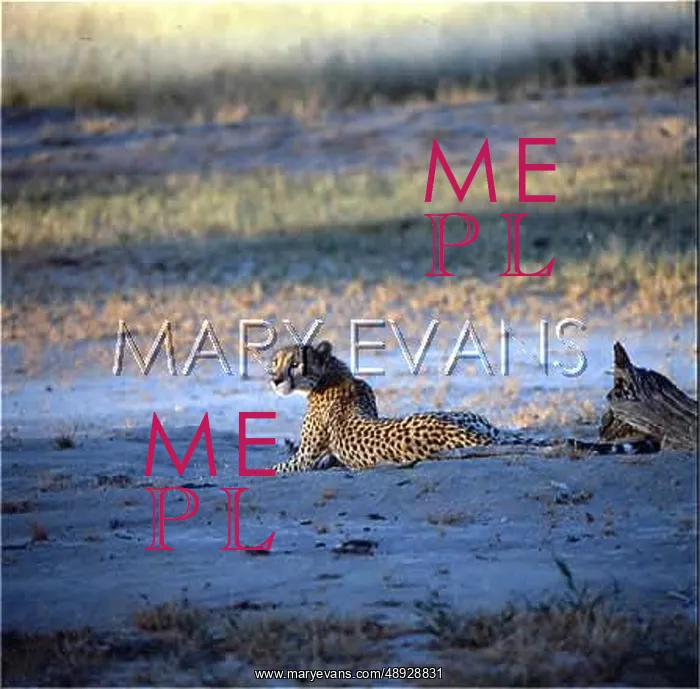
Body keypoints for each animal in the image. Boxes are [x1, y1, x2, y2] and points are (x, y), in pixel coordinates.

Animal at [267, 340, 660, 473]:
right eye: (275, 362)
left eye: (294, 363)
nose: (273, 379)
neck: (332, 373)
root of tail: (473, 435)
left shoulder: (304, 460)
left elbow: (278, 466)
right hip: (487, 425)